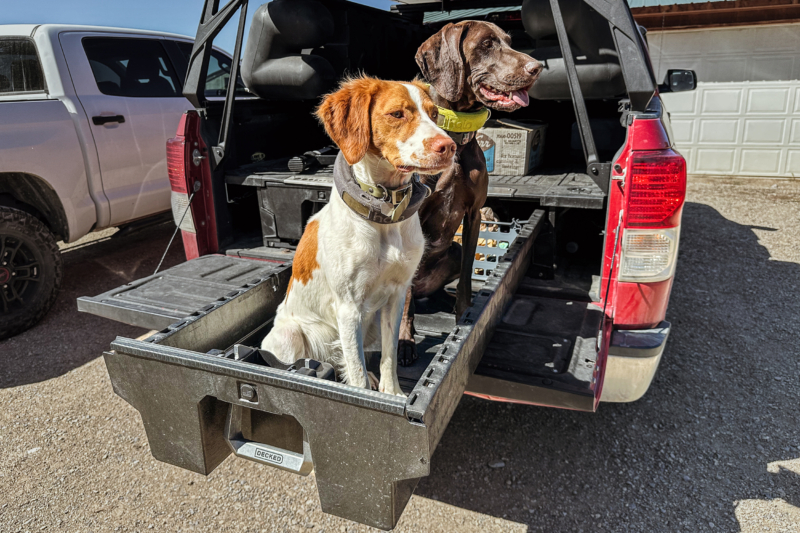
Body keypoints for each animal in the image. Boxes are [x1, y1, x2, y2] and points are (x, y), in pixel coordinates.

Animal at [262, 78, 456, 394]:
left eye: (434, 114)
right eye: (397, 114)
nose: (449, 146)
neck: (386, 213)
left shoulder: (396, 296)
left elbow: (389, 356)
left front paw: (392, 394)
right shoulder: (348, 307)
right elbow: (356, 376)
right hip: (289, 335)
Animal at [396, 18, 540, 364]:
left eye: (509, 41)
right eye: (487, 44)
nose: (538, 67)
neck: (454, 138)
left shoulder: (473, 215)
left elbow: (465, 282)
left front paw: (464, 316)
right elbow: (404, 300)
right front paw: (405, 339)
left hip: (455, 250)